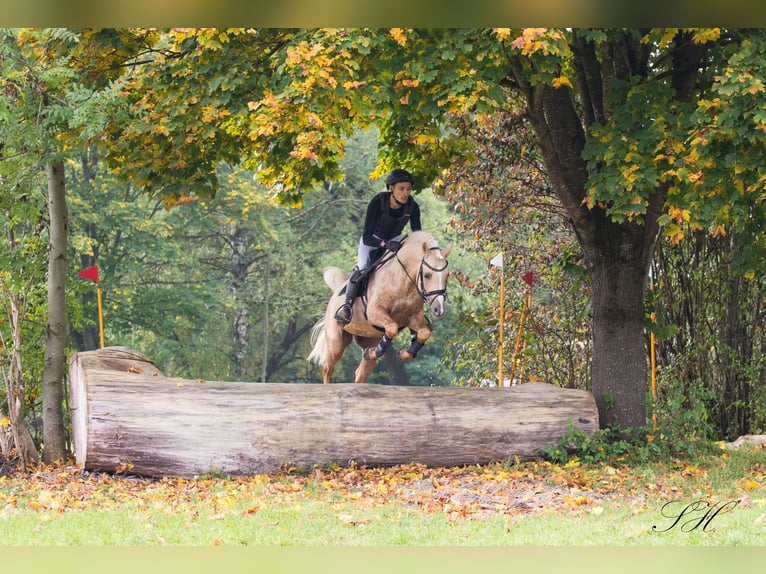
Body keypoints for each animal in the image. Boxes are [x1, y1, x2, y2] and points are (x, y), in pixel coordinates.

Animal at [308, 232, 452, 384]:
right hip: (336, 341)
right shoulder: (374, 313)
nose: (439, 309)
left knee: (360, 372)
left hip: (368, 337)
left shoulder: (412, 318)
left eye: (447, 275)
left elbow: (423, 333)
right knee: (327, 368)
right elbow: (392, 327)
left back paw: (369, 355)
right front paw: (379, 350)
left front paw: (404, 353)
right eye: (427, 275)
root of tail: (335, 295)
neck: (403, 282)